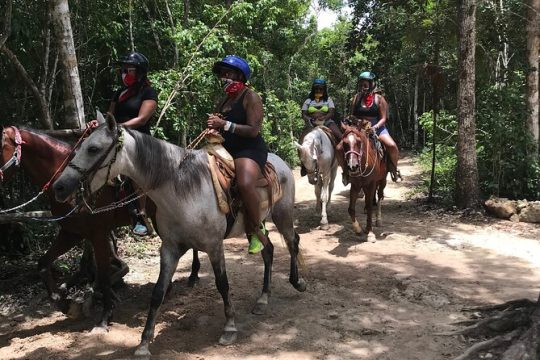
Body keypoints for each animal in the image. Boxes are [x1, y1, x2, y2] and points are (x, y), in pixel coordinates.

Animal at [0, 126, 199, 330]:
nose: (59, 189)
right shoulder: (71, 233)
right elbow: (42, 264)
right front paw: (66, 305)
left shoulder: (99, 234)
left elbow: (103, 277)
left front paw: (105, 316)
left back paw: (192, 275)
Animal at [55, 113, 308, 358]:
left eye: (93, 148)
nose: (59, 187)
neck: (181, 189)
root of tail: (281, 163)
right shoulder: (170, 248)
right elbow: (158, 292)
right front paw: (144, 343)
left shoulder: (214, 247)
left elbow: (223, 284)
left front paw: (229, 327)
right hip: (255, 225)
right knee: (268, 250)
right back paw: (263, 299)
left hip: (282, 215)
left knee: (292, 242)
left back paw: (298, 282)